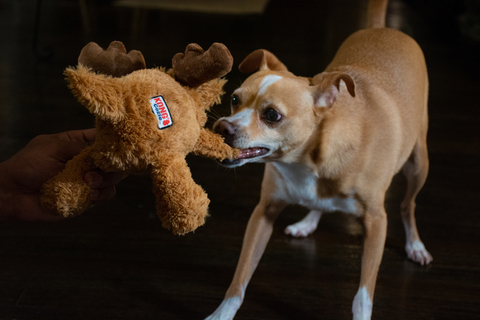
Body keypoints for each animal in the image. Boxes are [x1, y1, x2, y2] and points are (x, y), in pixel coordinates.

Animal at [208, 1, 434, 318]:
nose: (222, 128)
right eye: (234, 100)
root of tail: (383, 28)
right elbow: (239, 280)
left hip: (418, 165)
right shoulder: (264, 212)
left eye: (272, 115)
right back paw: (308, 221)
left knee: (407, 205)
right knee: (321, 204)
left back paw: (415, 245)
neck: (307, 162)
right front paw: (221, 314)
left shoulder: (376, 223)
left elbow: (363, 296)